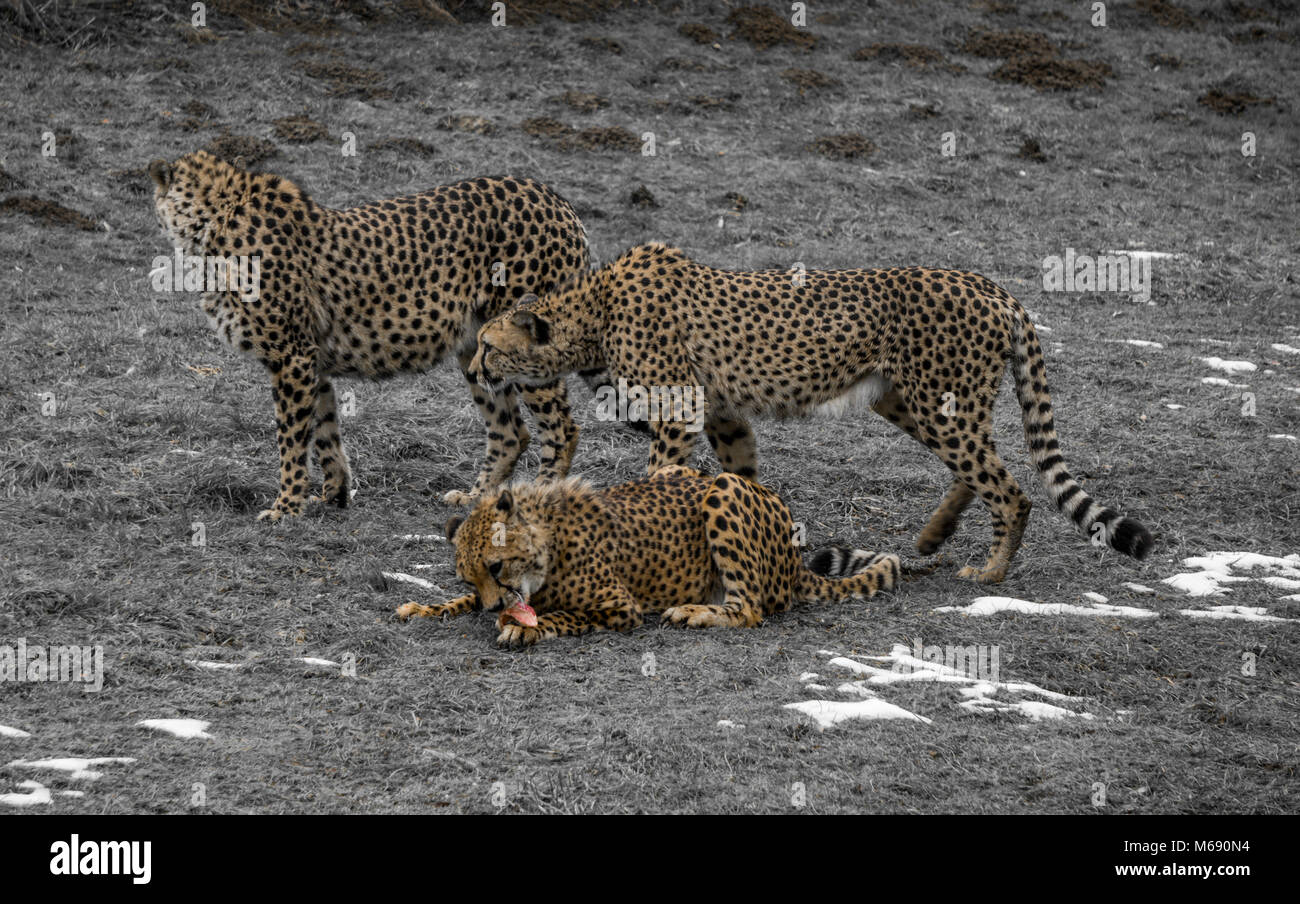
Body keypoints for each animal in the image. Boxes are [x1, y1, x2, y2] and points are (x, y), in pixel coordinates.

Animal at [152, 150, 595, 520]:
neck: (215, 218)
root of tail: (554, 197)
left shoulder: (291, 357)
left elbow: (291, 440)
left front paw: (286, 508)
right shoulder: (312, 360)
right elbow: (325, 431)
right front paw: (333, 495)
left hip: (526, 347)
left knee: (562, 429)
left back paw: (542, 497)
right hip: (480, 351)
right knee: (510, 431)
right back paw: (476, 497)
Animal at [395, 465, 904, 650]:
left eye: (496, 566)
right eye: (468, 577)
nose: (493, 608)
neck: (546, 539)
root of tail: (794, 557)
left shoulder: (622, 608)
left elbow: (565, 614)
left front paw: (525, 627)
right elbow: (458, 604)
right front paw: (428, 607)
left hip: (724, 488)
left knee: (750, 609)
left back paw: (694, 612)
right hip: (672, 469)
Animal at [470, 240, 1159, 582]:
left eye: (487, 344)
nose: (474, 369)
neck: (592, 308)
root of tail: (993, 287)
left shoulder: (678, 410)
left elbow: (660, 475)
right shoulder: (723, 414)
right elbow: (740, 476)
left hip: (940, 404)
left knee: (1009, 488)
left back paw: (990, 571)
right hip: (909, 400)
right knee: (981, 470)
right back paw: (934, 537)